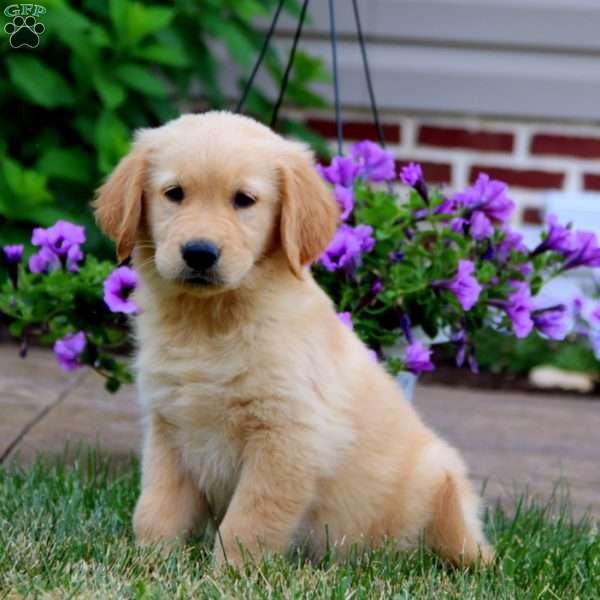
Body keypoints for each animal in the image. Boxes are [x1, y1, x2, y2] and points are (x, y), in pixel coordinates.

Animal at [94, 111, 492, 568]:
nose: (199, 253)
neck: (211, 322)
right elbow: (157, 507)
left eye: (244, 200)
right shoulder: (167, 427)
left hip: (441, 477)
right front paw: (150, 560)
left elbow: (251, 517)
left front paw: (230, 572)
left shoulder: (289, 436)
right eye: (174, 194)